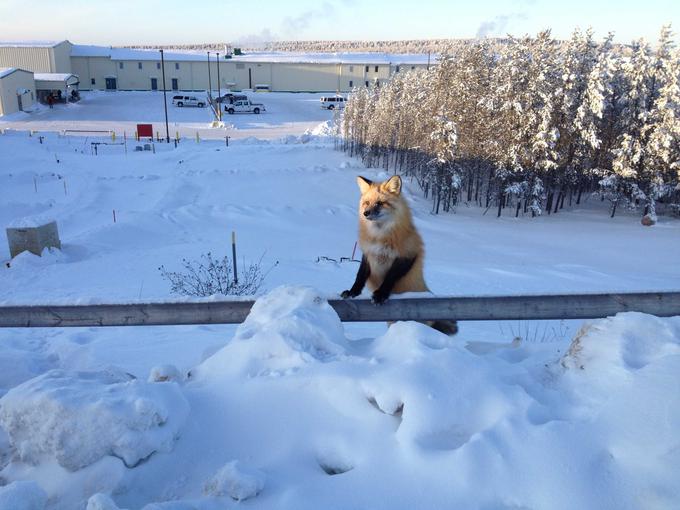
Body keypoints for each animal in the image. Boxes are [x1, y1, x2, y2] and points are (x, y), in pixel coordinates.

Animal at [340, 175, 456, 334]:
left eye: (380, 203)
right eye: (367, 203)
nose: (366, 213)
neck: (380, 237)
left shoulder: (408, 254)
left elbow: (390, 277)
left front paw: (380, 295)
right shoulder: (368, 254)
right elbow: (360, 276)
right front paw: (352, 292)